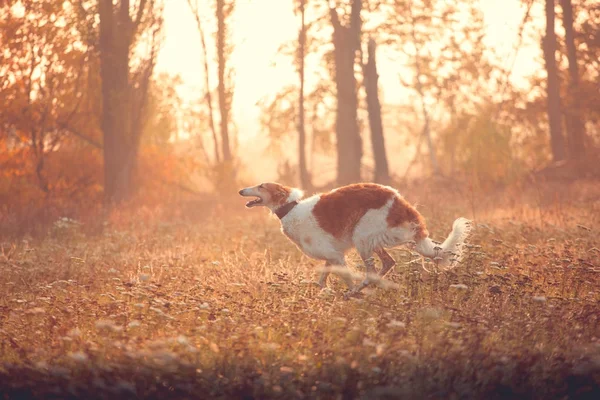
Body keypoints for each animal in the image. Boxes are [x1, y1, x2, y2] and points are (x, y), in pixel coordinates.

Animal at [238, 183, 468, 296]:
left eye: (261, 186)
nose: (241, 190)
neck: (291, 209)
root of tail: (403, 206)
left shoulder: (335, 256)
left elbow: (345, 278)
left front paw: (350, 294)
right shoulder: (332, 255)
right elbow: (321, 280)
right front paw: (328, 291)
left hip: (362, 236)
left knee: (373, 270)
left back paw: (358, 290)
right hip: (371, 240)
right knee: (388, 263)